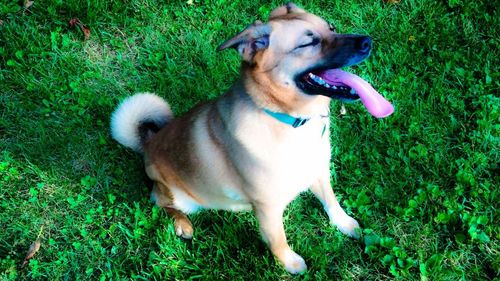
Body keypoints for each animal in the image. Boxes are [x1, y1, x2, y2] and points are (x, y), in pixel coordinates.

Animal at [111, 2, 392, 274]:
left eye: (331, 28)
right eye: (308, 43)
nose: (367, 42)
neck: (289, 120)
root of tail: (148, 142)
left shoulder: (318, 170)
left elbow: (331, 201)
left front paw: (344, 223)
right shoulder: (267, 207)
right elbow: (278, 240)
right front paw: (291, 265)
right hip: (177, 195)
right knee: (160, 202)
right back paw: (183, 224)